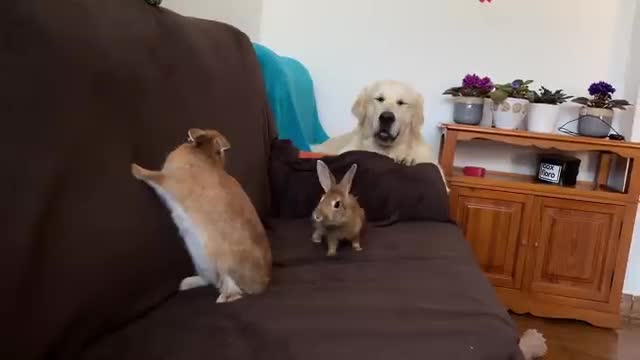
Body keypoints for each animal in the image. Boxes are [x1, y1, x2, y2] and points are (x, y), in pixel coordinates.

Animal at [130, 128, 270, 302]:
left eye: (190, 140)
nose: (188, 138)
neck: (206, 157)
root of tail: (261, 284)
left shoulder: (169, 181)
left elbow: (154, 177)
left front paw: (134, 168)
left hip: (224, 263)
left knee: (232, 288)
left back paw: (224, 297)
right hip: (201, 262)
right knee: (210, 280)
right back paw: (185, 284)